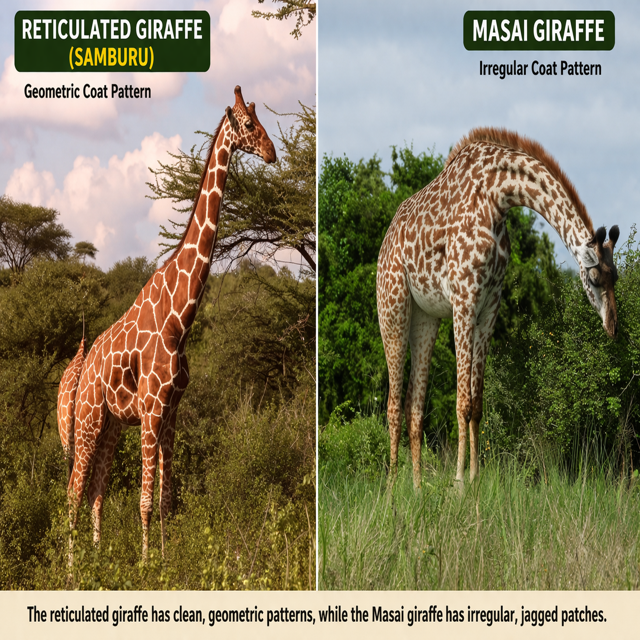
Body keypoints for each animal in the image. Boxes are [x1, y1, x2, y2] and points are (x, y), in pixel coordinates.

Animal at [57, 86, 276, 559]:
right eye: (248, 124)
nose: (271, 152)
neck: (181, 317)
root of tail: (83, 368)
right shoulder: (153, 409)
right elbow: (143, 500)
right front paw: (145, 564)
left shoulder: (173, 409)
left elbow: (167, 500)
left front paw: (164, 558)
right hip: (87, 420)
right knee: (72, 492)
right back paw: (72, 567)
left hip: (110, 426)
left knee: (96, 490)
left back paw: (98, 560)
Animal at [377, 127, 619, 489]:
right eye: (594, 278)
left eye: (616, 277)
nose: (613, 327)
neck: (496, 198)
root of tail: (385, 241)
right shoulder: (464, 298)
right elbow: (462, 402)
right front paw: (459, 483)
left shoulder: (490, 303)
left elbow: (477, 403)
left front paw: (475, 479)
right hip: (392, 307)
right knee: (393, 405)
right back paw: (392, 490)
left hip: (426, 317)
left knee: (413, 407)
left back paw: (417, 490)